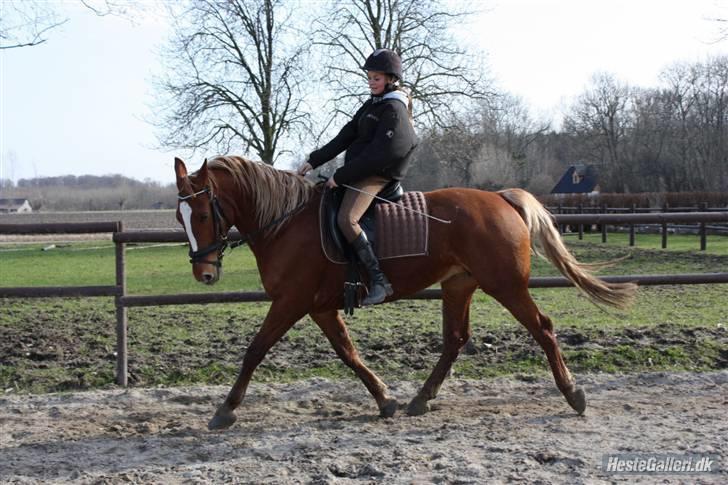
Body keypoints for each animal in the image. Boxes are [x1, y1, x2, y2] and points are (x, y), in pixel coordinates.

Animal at [173, 154, 636, 428]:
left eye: (202, 214)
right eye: (180, 218)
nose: (203, 274)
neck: (285, 222)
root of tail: (501, 199)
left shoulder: (291, 302)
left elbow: (255, 349)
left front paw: (225, 410)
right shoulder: (320, 308)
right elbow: (349, 353)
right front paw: (385, 399)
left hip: (505, 285)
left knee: (543, 327)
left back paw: (573, 394)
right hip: (459, 285)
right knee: (455, 340)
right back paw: (420, 399)